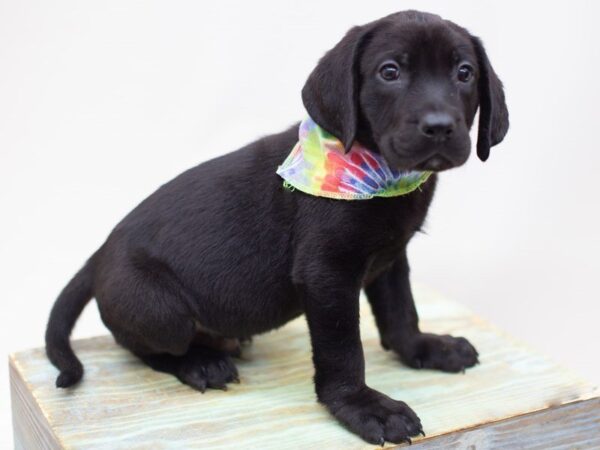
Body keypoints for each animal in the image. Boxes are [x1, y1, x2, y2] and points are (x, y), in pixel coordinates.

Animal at [45, 8, 506, 444]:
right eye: (389, 71)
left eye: (464, 72)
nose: (439, 126)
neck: (379, 171)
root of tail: (99, 255)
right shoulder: (326, 274)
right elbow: (343, 350)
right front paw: (362, 406)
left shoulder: (391, 258)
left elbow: (400, 313)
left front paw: (426, 348)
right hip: (160, 309)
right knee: (143, 346)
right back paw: (200, 362)